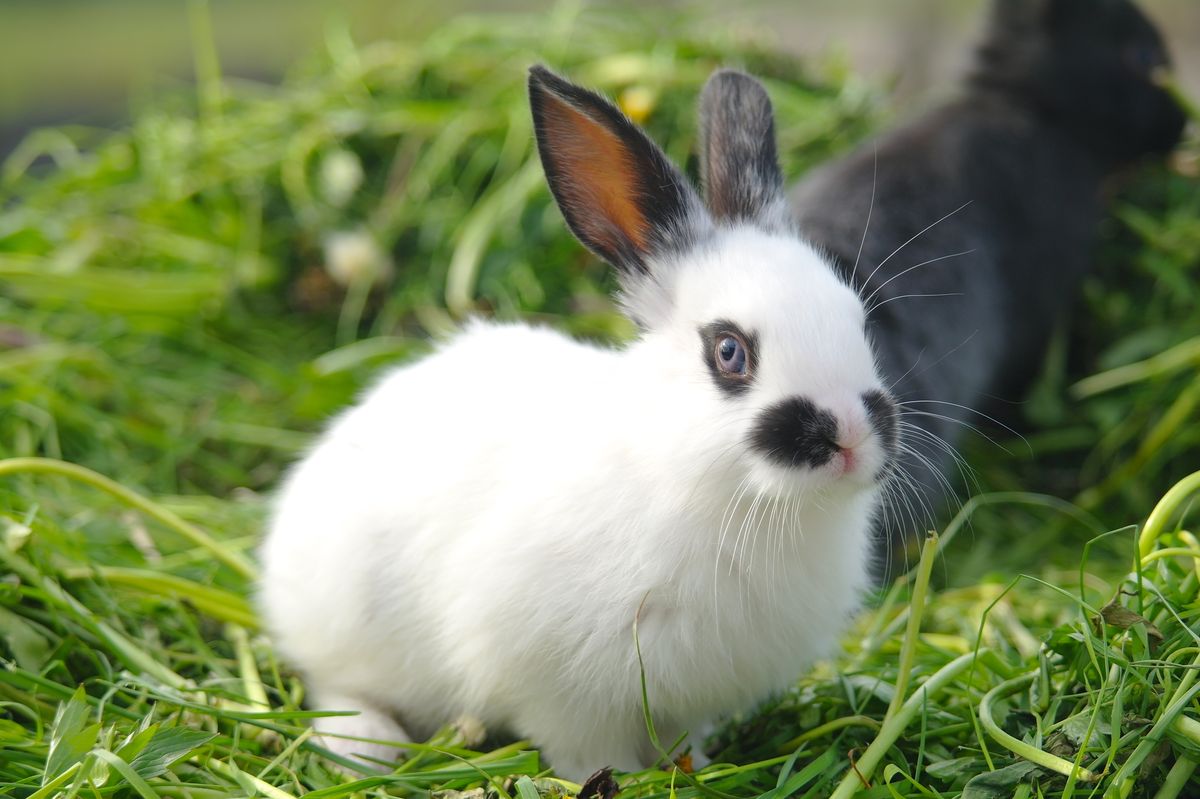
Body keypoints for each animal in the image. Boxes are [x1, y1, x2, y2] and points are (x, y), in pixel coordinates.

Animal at [265, 63, 902, 777]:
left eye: (857, 320)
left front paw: (690, 767)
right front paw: (614, 779)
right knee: (335, 684)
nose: (850, 439)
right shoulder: (559, 688)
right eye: (729, 351)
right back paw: (367, 744)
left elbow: (680, 739)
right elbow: (585, 749)